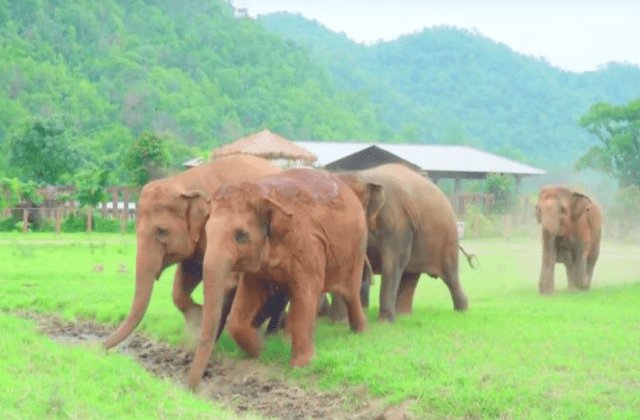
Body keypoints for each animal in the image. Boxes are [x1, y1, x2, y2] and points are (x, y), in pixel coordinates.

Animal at [103, 155, 282, 351]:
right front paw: (196, 322)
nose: (96, 348)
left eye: (161, 231)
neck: (184, 182)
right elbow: (187, 276)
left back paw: (273, 334)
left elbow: (225, 281)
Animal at [186, 168, 373, 389]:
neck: (263, 193)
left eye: (241, 235)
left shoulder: (308, 245)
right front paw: (260, 348)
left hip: (357, 247)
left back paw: (360, 332)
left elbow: (306, 292)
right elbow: (245, 304)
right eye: (206, 232)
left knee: (350, 293)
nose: (191, 389)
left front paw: (300, 366)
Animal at [337, 163, 469, 322]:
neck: (361, 176)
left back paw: (462, 311)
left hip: (447, 237)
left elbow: (393, 262)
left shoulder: (396, 220)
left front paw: (384, 323)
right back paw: (403, 316)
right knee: (410, 275)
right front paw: (338, 322)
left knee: (450, 276)